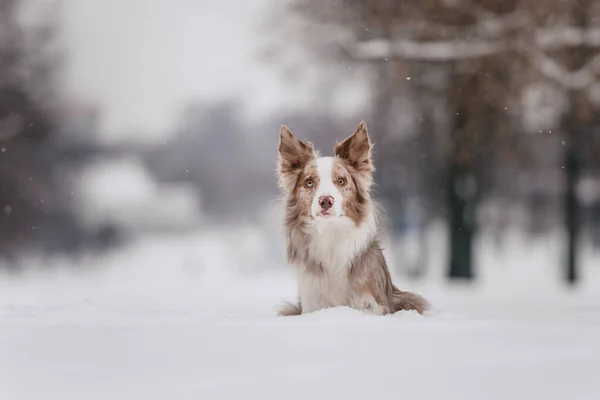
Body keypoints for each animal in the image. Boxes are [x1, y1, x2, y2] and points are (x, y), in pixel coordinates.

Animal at [278, 121, 428, 316]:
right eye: (309, 182)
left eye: (341, 181)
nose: (325, 201)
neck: (330, 233)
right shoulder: (312, 301)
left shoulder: (371, 302)